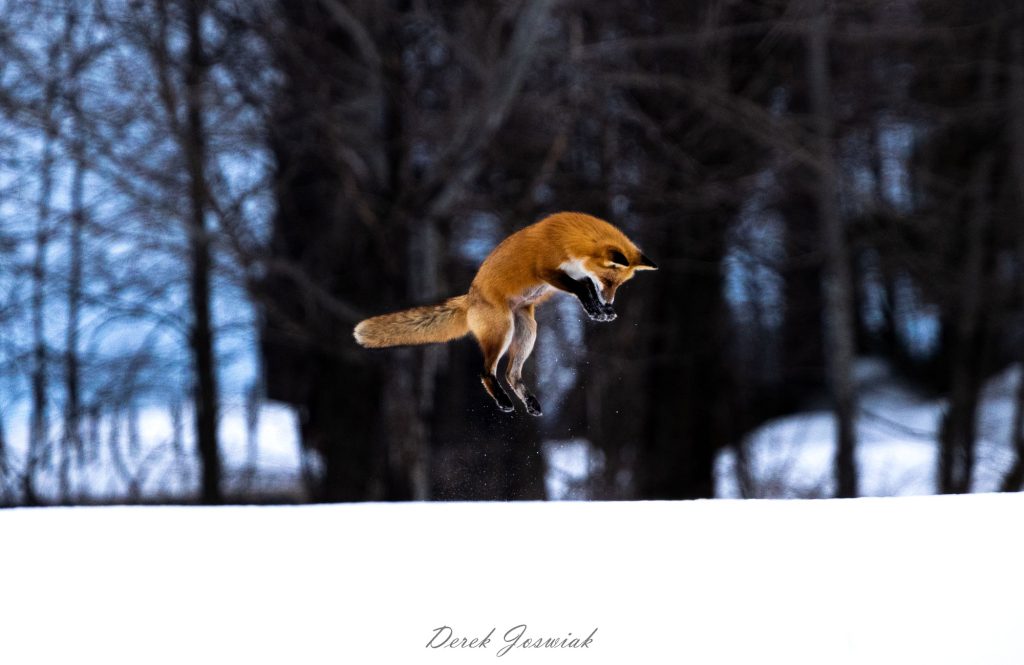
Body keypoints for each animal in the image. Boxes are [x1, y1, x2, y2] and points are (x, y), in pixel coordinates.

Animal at [353, 211, 657, 415]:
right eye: (608, 280)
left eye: (618, 285)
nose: (610, 300)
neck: (570, 239)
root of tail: (470, 298)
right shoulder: (548, 271)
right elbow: (582, 289)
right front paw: (598, 308)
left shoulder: (574, 275)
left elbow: (585, 290)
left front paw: (600, 311)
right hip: (503, 331)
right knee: (486, 371)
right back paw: (503, 400)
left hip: (528, 330)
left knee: (511, 373)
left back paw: (528, 401)